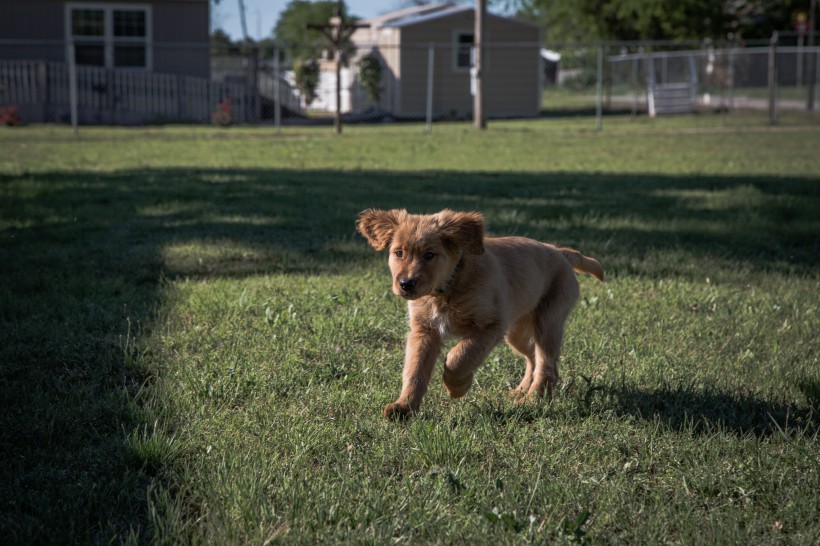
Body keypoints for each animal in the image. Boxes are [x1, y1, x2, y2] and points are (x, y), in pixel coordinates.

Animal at [358, 209, 604, 420]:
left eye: (429, 255)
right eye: (398, 253)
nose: (406, 284)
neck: (447, 288)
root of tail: (560, 251)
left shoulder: (490, 326)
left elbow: (459, 356)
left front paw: (457, 386)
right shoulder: (424, 331)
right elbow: (415, 370)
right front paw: (404, 407)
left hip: (548, 321)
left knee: (547, 364)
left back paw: (534, 399)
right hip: (516, 331)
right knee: (533, 356)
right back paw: (521, 391)